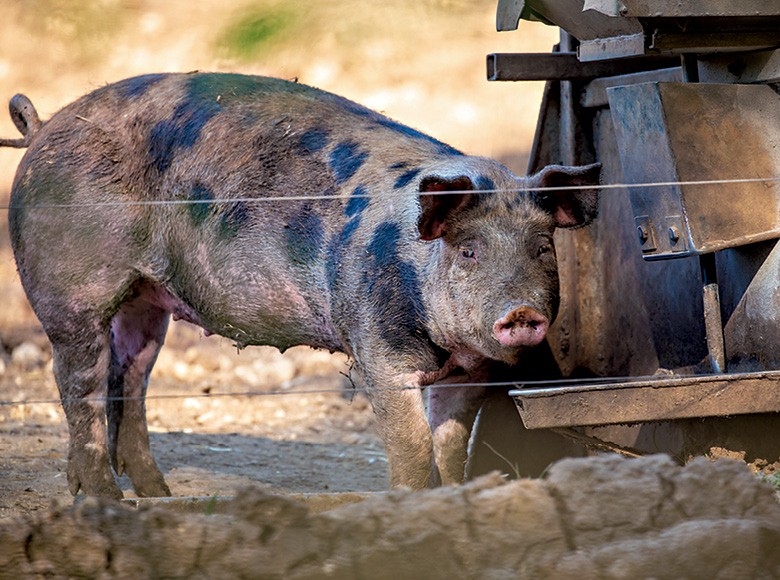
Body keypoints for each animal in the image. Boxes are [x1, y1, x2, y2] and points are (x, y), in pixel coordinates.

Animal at [3, 72, 600, 498]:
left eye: (542, 248)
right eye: (469, 251)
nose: (521, 313)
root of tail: (42, 129)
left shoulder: (471, 373)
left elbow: (451, 449)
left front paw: (454, 498)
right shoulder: (379, 352)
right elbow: (411, 448)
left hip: (147, 300)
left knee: (131, 376)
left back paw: (156, 494)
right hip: (70, 292)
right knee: (79, 386)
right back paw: (106, 499)